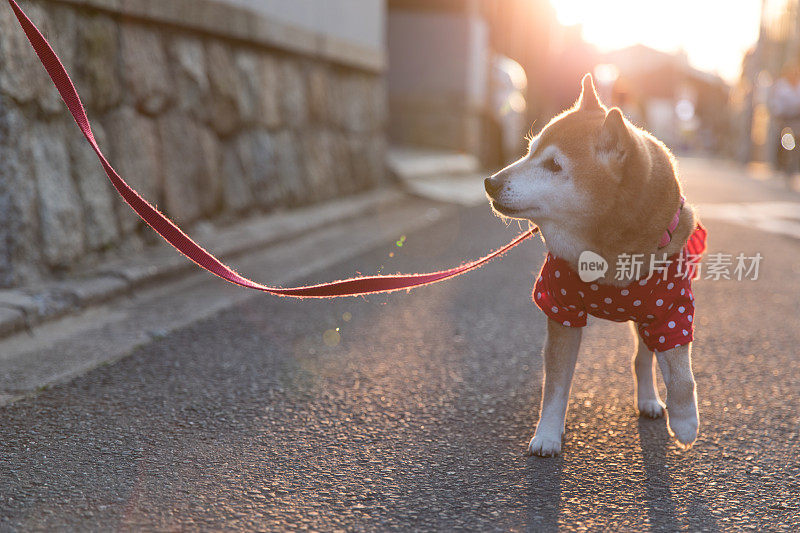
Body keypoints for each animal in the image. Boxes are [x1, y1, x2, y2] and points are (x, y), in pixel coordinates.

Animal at [484, 74, 704, 458]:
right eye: (529, 151)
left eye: (554, 166)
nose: (490, 182)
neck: (607, 252)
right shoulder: (562, 309)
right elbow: (556, 384)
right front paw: (547, 433)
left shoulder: (671, 310)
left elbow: (681, 374)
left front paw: (686, 423)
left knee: (642, 359)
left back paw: (649, 400)